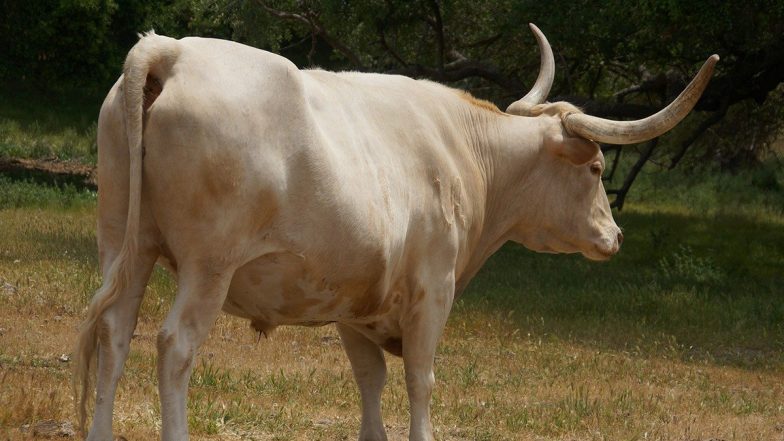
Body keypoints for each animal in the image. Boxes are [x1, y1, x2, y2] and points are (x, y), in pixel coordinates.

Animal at [75, 24, 716, 440]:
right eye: (596, 169)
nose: (615, 237)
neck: (469, 154)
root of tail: (173, 49)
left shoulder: (353, 303)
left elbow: (371, 382)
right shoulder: (433, 291)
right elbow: (419, 380)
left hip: (124, 245)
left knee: (114, 332)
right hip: (210, 264)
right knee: (174, 346)